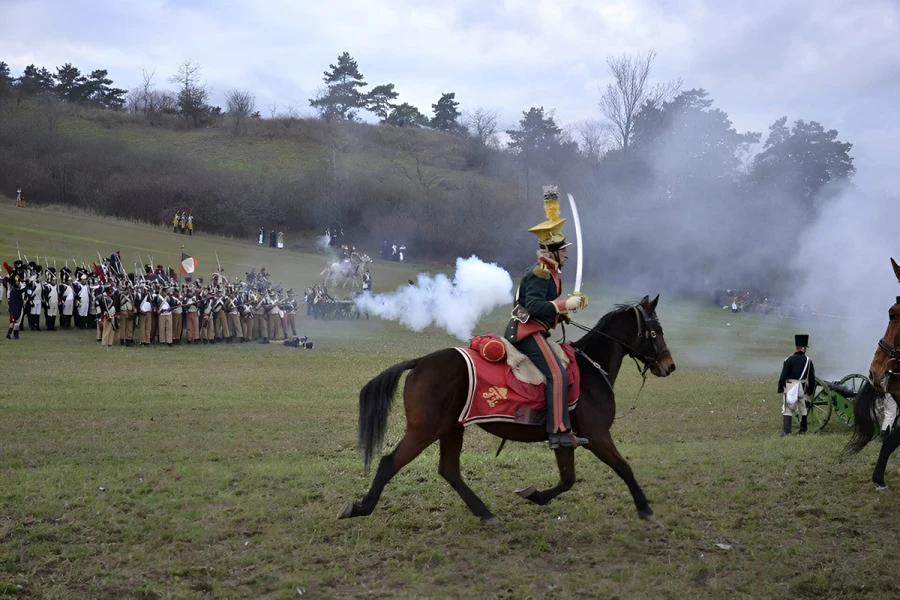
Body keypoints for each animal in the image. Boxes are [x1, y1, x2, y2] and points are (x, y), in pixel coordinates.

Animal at [338, 296, 676, 524]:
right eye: (657, 329)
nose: (669, 365)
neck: (590, 369)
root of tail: (421, 361)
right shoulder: (597, 436)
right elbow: (624, 468)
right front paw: (646, 509)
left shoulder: (566, 439)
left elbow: (567, 479)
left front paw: (535, 495)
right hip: (425, 430)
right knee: (389, 463)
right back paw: (361, 507)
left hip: (451, 428)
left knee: (449, 470)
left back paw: (484, 512)